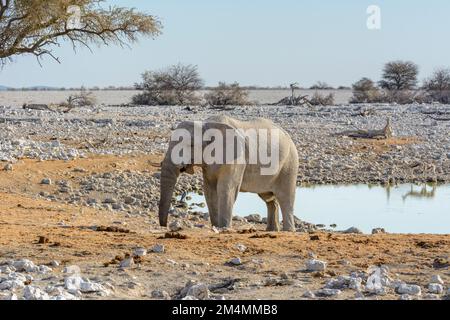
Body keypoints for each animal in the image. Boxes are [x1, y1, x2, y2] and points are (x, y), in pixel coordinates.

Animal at [158, 116, 298, 231]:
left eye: (191, 145)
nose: (164, 226)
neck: (206, 124)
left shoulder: (236, 159)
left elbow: (226, 188)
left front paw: (224, 228)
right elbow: (209, 190)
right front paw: (216, 226)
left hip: (289, 163)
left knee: (285, 196)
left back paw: (288, 231)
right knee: (269, 198)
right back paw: (272, 230)